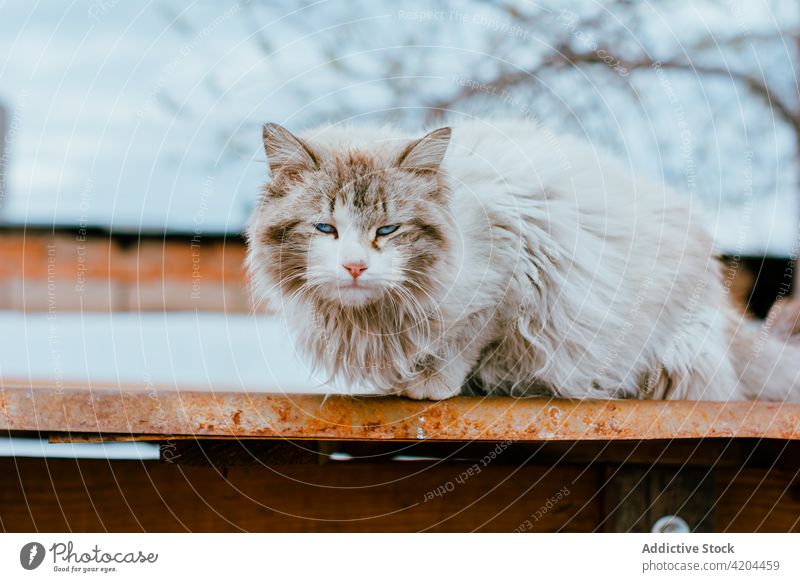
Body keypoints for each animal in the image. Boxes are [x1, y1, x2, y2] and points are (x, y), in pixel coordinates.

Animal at [247, 118, 796, 402]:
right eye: (325, 229)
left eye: (388, 230)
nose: (356, 267)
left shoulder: (511, 275)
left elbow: (463, 343)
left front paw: (431, 385)